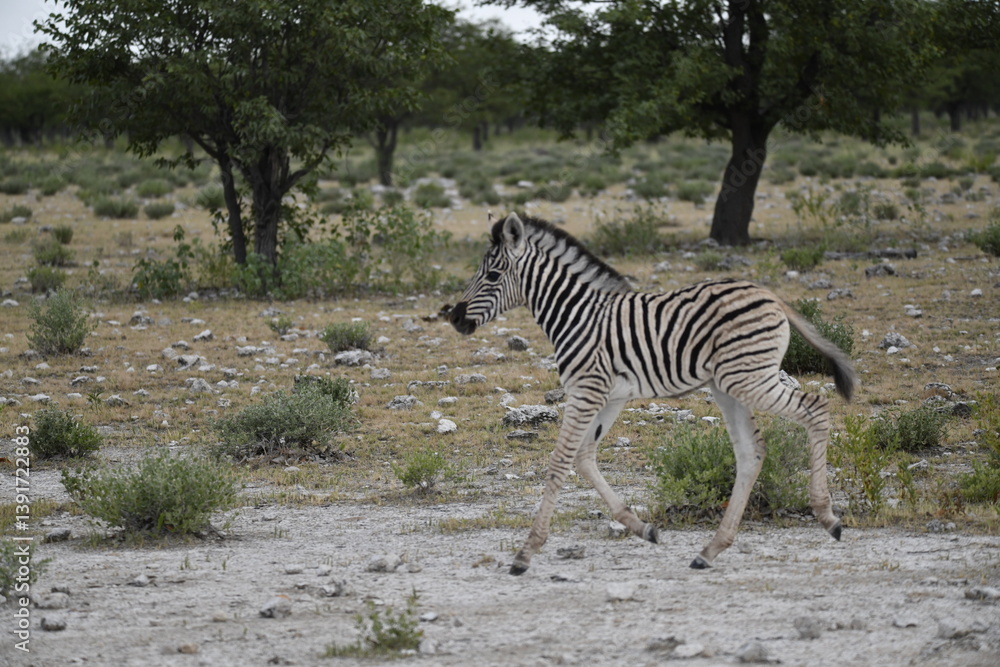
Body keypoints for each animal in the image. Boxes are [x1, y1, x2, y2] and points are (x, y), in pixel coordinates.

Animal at [449, 212, 857, 575]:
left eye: (492, 275)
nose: (453, 317)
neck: (576, 316)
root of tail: (769, 293)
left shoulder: (586, 390)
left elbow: (560, 462)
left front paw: (526, 553)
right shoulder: (609, 396)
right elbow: (584, 456)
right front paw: (641, 527)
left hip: (749, 378)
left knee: (816, 410)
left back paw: (827, 517)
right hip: (728, 384)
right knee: (750, 452)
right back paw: (710, 550)